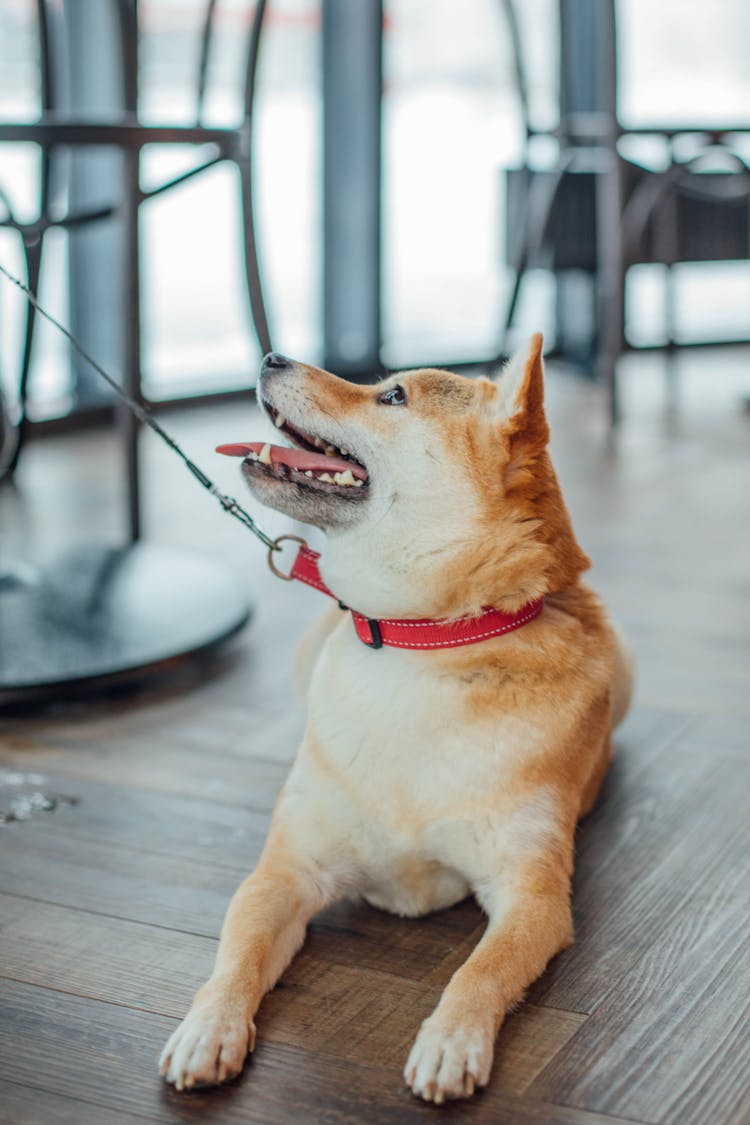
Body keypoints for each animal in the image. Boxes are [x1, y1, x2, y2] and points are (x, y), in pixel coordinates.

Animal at [158, 335, 634, 1107]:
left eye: (393, 397)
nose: (272, 355)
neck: (418, 643)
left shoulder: (531, 894)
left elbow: (478, 971)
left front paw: (451, 1039)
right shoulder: (286, 870)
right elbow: (234, 959)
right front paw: (209, 1028)